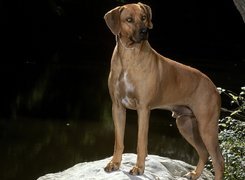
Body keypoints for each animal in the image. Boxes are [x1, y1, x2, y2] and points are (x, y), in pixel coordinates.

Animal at [103, 2, 224, 179]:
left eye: (144, 17)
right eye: (129, 20)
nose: (144, 32)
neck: (129, 55)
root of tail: (214, 86)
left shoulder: (143, 109)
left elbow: (141, 143)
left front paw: (138, 168)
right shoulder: (117, 107)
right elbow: (118, 141)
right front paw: (115, 163)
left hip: (206, 126)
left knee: (218, 161)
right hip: (186, 124)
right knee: (203, 152)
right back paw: (195, 174)